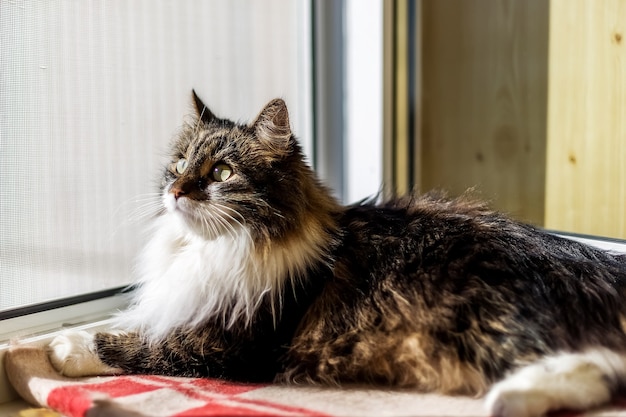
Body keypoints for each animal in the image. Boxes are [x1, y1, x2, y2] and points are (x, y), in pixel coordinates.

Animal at [47, 92, 624, 416]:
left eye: (222, 173)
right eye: (181, 163)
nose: (176, 192)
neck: (211, 249)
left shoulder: (235, 344)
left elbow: (139, 346)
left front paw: (63, 348)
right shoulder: (186, 303)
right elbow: (136, 322)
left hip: (487, 316)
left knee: (598, 366)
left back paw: (509, 400)